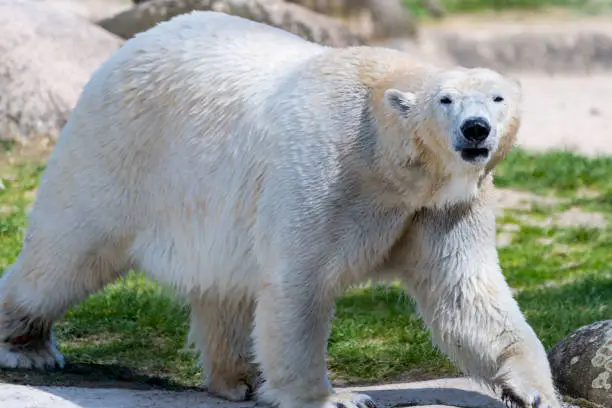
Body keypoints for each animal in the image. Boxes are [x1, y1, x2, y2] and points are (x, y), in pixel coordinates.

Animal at [0, 8, 560, 408]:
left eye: (497, 98)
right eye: (445, 100)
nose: (476, 130)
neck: (386, 158)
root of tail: (125, 50)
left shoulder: (442, 205)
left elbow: (465, 292)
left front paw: (533, 389)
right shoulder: (326, 169)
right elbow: (300, 280)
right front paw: (333, 398)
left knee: (222, 285)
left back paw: (238, 377)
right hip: (121, 154)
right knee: (65, 255)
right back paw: (28, 348)